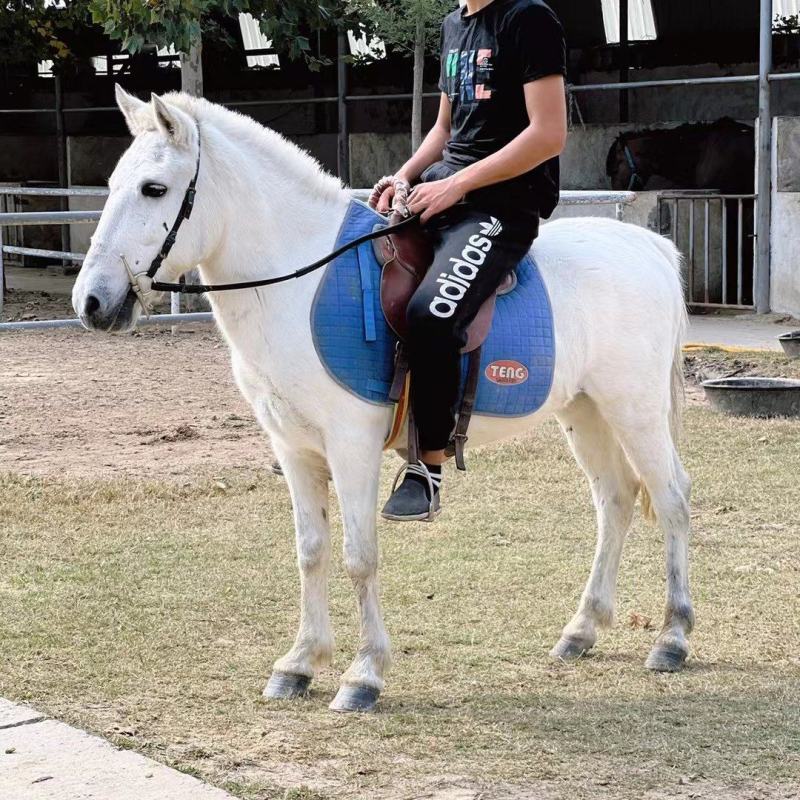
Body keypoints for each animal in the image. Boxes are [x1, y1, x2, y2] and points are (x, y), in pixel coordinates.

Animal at [72, 87, 694, 713]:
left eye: (154, 189)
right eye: (113, 184)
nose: (91, 302)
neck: (301, 285)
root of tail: (652, 247)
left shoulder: (352, 443)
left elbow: (359, 556)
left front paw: (363, 674)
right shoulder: (293, 448)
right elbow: (311, 550)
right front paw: (299, 663)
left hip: (635, 412)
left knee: (671, 499)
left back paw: (672, 637)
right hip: (584, 412)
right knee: (615, 501)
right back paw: (582, 630)